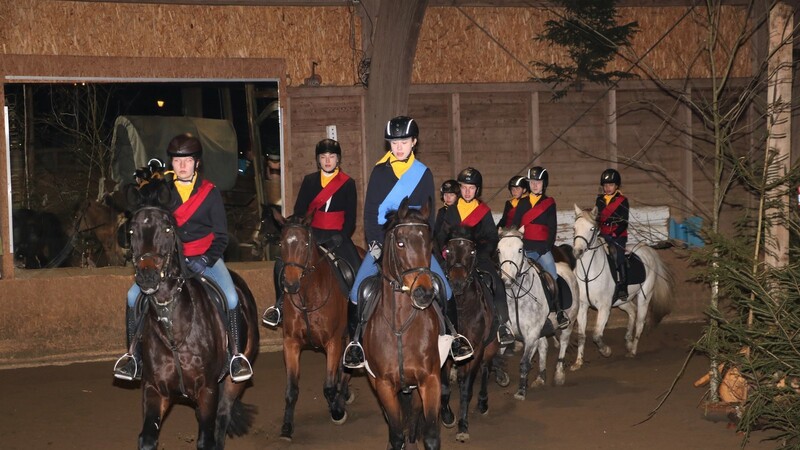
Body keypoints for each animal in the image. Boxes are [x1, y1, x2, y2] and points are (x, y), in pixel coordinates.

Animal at [276, 213, 350, 442]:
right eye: (281, 243)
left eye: (305, 244)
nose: (290, 285)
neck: (308, 295)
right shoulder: (291, 343)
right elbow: (291, 389)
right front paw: (287, 427)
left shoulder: (333, 342)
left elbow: (328, 387)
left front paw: (337, 411)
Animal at [362, 200, 444, 450]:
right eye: (400, 243)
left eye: (429, 243)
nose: (424, 293)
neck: (400, 327)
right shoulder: (384, 385)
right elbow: (396, 433)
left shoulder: (430, 380)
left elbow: (430, 435)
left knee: (413, 419)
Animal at [438, 230, 500, 442]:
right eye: (447, 250)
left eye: (472, 251)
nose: (456, 283)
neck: (462, 307)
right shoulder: (446, 351)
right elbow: (444, 388)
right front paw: (447, 416)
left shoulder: (477, 349)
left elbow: (466, 390)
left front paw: (463, 427)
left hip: (489, 347)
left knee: (485, 370)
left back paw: (483, 403)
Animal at [496, 227, 580, 400]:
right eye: (499, 250)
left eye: (520, 249)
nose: (507, 281)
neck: (517, 296)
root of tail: (565, 266)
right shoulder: (508, 332)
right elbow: (497, 358)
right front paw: (502, 378)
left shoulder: (531, 334)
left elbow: (524, 363)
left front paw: (521, 391)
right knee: (543, 347)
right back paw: (540, 377)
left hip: (569, 321)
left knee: (563, 342)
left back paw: (559, 375)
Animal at [568, 206, 676, 370]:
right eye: (574, 228)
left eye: (592, 228)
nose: (577, 252)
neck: (588, 272)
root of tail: (647, 250)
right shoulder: (582, 306)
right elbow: (581, 335)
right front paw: (578, 362)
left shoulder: (604, 308)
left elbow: (597, 335)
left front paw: (606, 351)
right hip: (621, 301)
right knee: (632, 311)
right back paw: (628, 341)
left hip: (644, 297)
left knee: (640, 322)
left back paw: (632, 350)